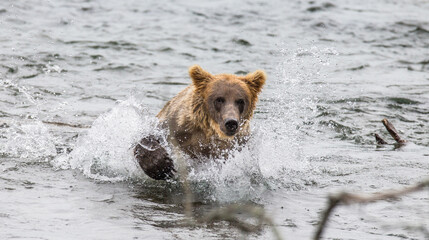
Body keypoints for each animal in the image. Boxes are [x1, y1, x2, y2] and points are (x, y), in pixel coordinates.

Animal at [135, 64, 266, 179]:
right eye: (219, 99)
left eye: (240, 101)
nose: (231, 122)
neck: (210, 131)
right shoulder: (176, 125)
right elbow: (149, 137)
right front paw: (161, 166)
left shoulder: (238, 144)